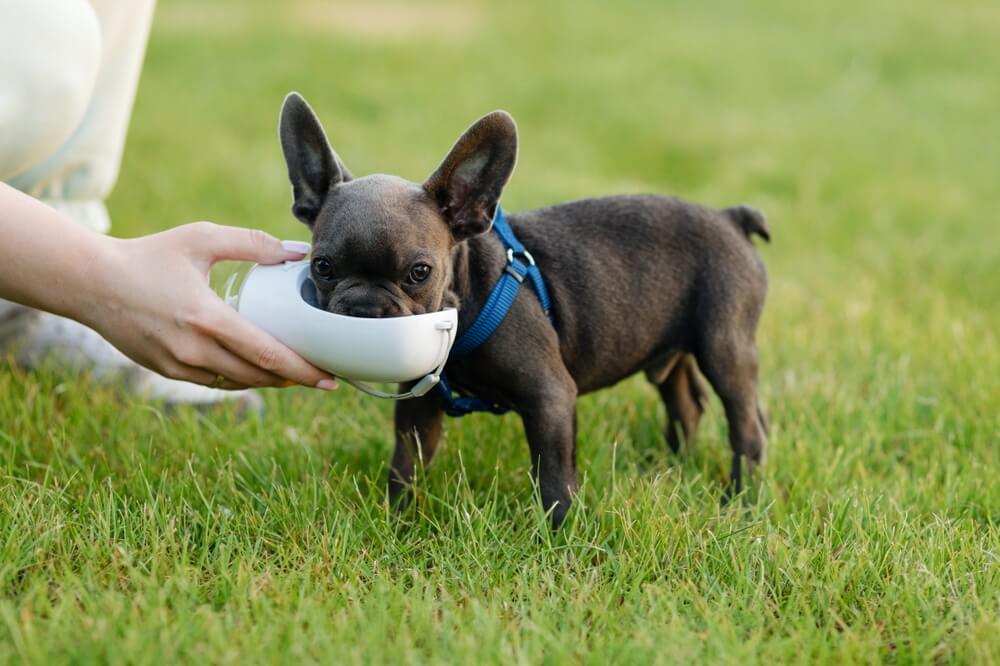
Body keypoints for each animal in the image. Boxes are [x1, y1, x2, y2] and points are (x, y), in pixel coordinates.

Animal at [278, 93, 768, 528]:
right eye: (322, 266)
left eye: (419, 272)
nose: (362, 307)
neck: (469, 295)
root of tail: (730, 218)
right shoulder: (419, 407)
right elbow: (407, 462)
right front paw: (397, 519)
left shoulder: (549, 397)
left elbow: (552, 476)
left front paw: (560, 535)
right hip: (669, 349)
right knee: (686, 404)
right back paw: (674, 468)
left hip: (724, 347)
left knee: (746, 425)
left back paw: (740, 501)